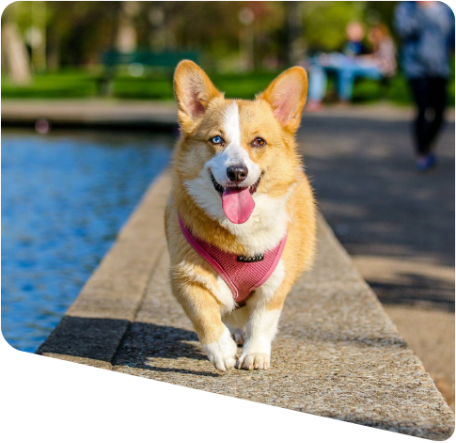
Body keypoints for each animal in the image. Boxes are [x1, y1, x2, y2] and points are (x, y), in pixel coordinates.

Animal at [165, 60, 318, 372]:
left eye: (258, 141)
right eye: (216, 139)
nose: (237, 172)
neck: (240, 234)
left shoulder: (276, 284)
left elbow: (262, 321)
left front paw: (255, 354)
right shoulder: (185, 278)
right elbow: (204, 314)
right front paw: (221, 350)